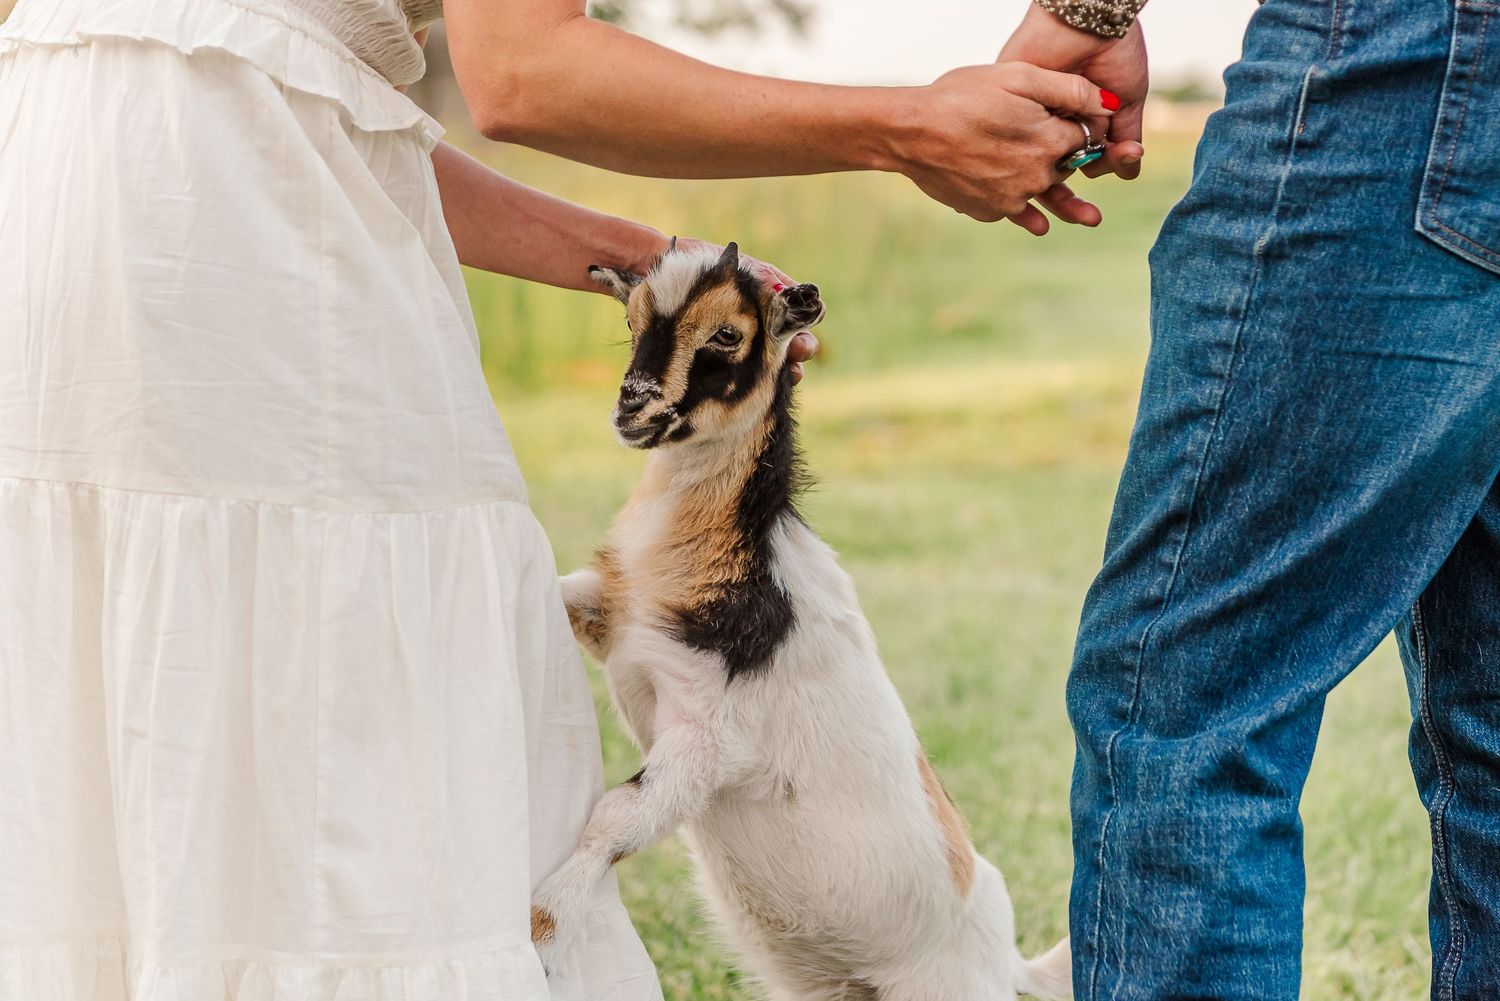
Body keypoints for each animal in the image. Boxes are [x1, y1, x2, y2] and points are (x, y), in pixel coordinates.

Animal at [532, 242, 1072, 1001]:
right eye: (631, 321)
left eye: (727, 334)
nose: (631, 405)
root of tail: (1008, 960)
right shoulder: (613, 621)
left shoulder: (710, 734)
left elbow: (613, 819)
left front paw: (539, 937)